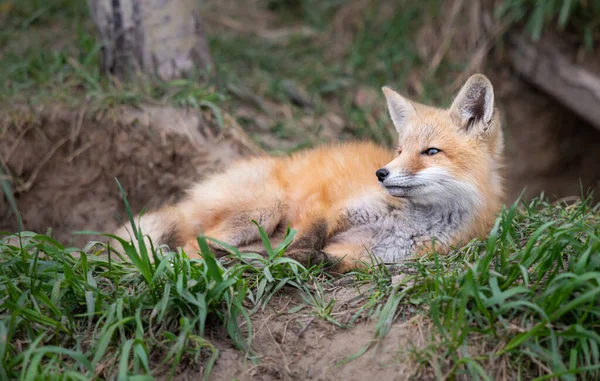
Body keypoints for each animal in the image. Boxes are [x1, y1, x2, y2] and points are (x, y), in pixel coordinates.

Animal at [112, 73, 502, 270]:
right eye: (399, 151)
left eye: (430, 152)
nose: (380, 174)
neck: (404, 223)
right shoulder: (324, 208)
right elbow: (308, 234)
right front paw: (284, 255)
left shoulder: (363, 259)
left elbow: (321, 257)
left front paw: (291, 259)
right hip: (264, 209)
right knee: (193, 246)